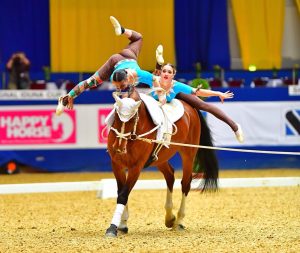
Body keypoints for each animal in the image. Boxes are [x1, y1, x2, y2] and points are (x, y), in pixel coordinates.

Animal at [105, 87, 218, 237]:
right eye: (116, 116)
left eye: (133, 119)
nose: (118, 147)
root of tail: (190, 107)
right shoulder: (117, 165)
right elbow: (121, 192)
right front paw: (122, 224)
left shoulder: (136, 167)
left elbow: (123, 194)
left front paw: (112, 228)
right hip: (160, 159)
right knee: (170, 175)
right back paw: (170, 218)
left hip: (188, 153)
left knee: (185, 183)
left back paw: (179, 221)